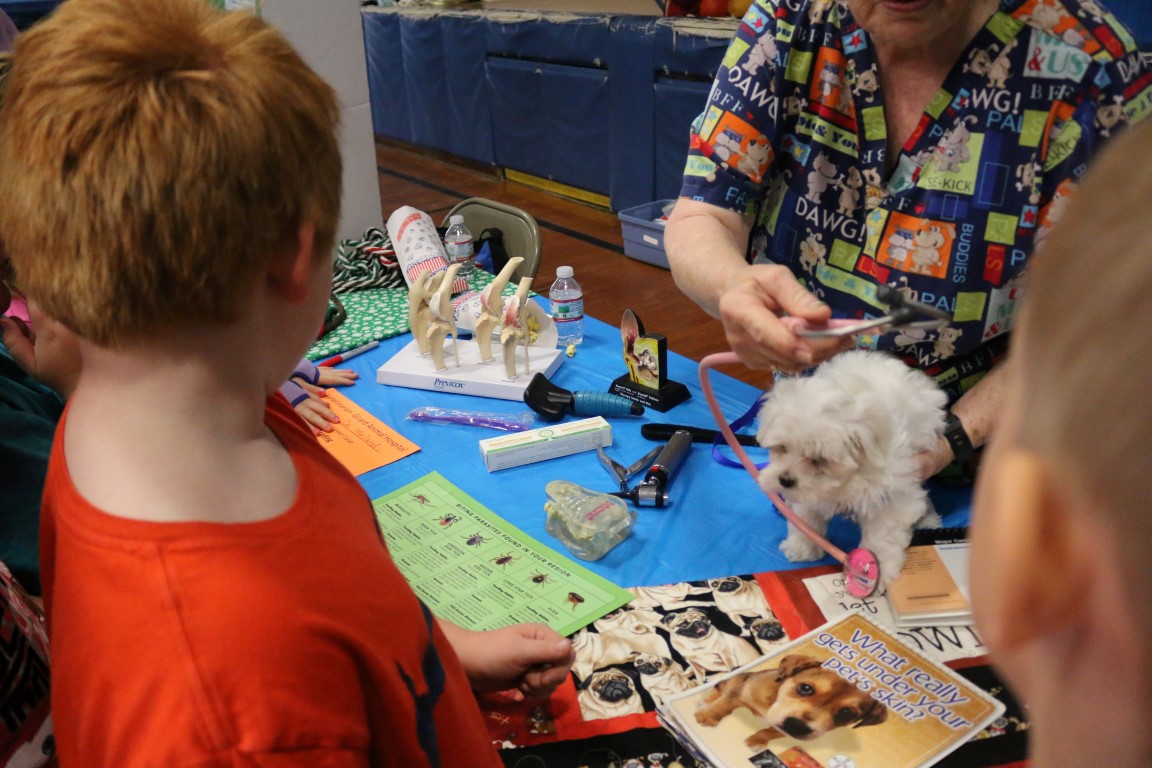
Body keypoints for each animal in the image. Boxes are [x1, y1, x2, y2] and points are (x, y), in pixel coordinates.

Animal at [694, 653, 887, 749]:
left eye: (846, 713)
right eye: (805, 688)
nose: (797, 726)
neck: (775, 699)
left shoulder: (783, 730)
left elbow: (769, 732)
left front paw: (757, 741)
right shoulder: (739, 692)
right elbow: (723, 705)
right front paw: (708, 717)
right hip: (736, 679)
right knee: (719, 689)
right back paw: (705, 703)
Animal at [756, 350, 947, 590]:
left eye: (818, 460)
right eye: (782, 448)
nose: (785, 480)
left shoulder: (893, 492)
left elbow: (883, 534)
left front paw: (872, 570)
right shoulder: (810, 494)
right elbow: (806, 517)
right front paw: (803, 547)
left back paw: (927, 518)